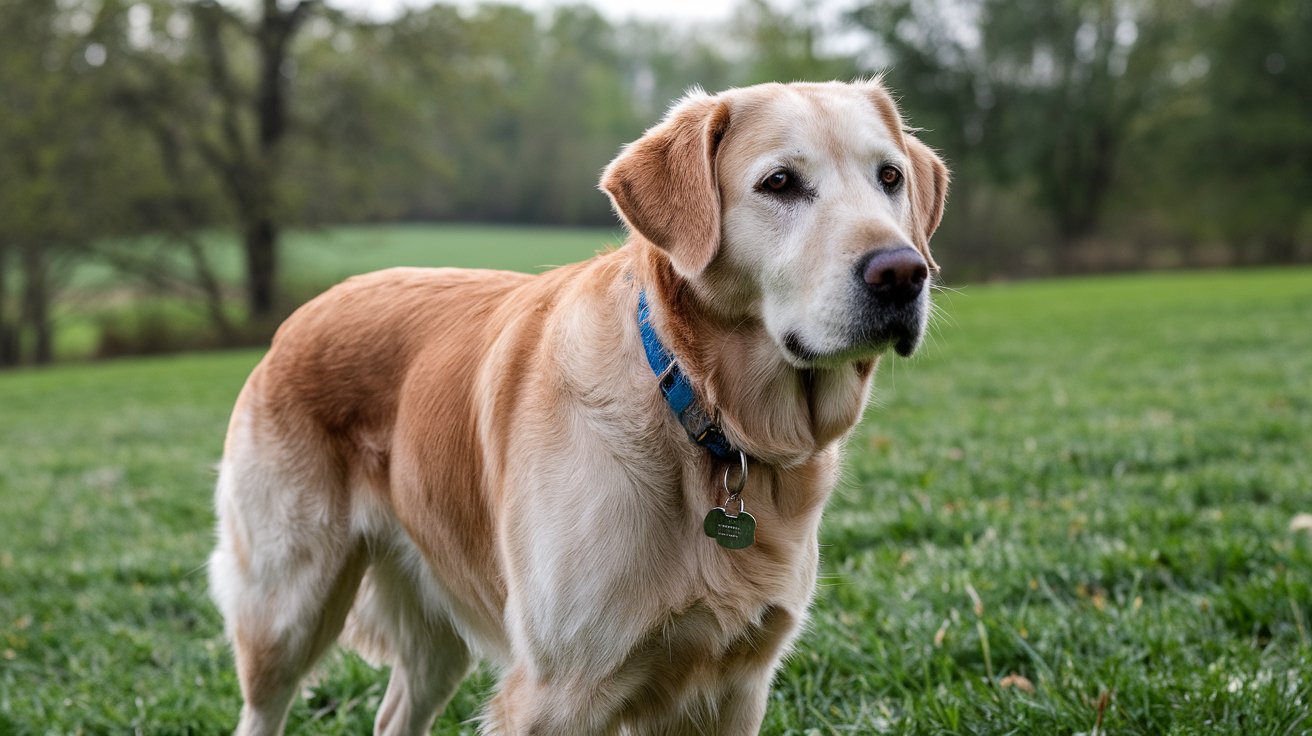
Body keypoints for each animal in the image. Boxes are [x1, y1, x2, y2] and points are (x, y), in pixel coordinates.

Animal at [212, 77, 955, 729]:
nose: (902, 273)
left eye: (889, 178)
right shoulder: (556, 692)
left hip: (432, 622)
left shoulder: (733, 686)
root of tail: (302, 315)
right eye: (779, 183)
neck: (696, 410)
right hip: (286, 607)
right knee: (261, 707)